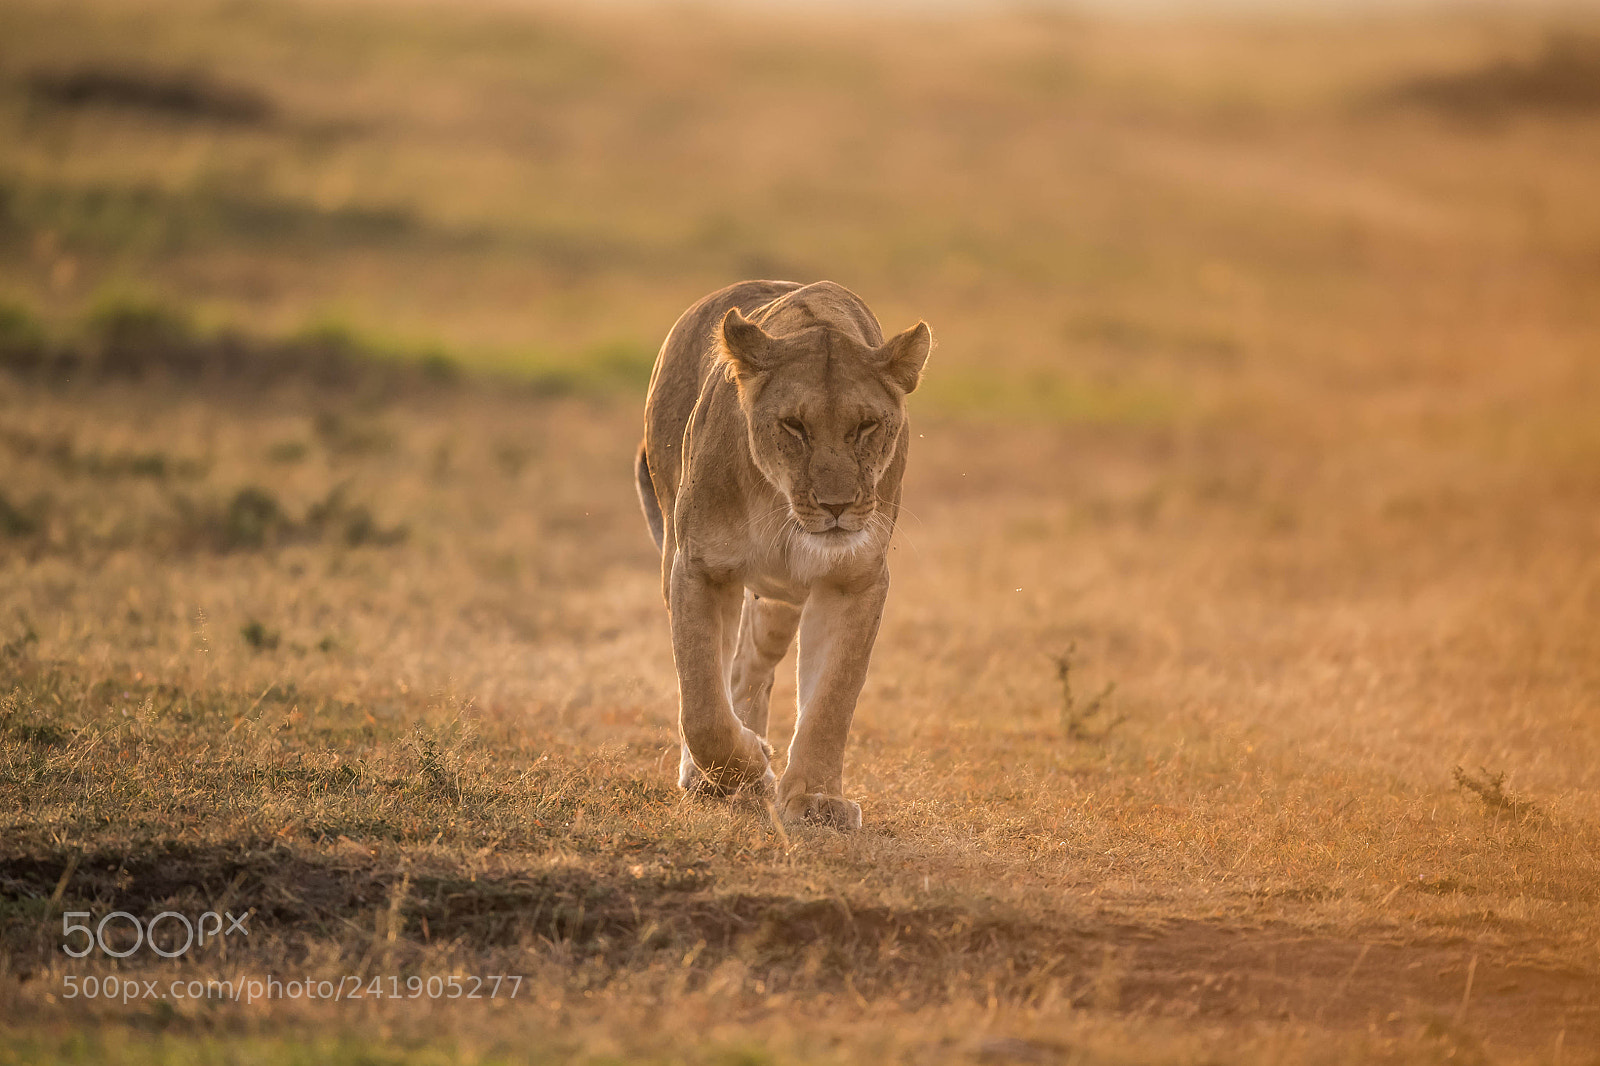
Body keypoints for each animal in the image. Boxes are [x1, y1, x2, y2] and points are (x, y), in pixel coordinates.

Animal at [635, 280, 931, 830]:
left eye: (866, 426)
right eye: (794, 426)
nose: (837, 506)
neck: (781, 510)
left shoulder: (853, 579)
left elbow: (832, 698)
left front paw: (816, 798)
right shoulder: (699, 568)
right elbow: (702, 705)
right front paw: (749, 765)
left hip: (778, 605)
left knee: (749, 668)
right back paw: (716, 775)